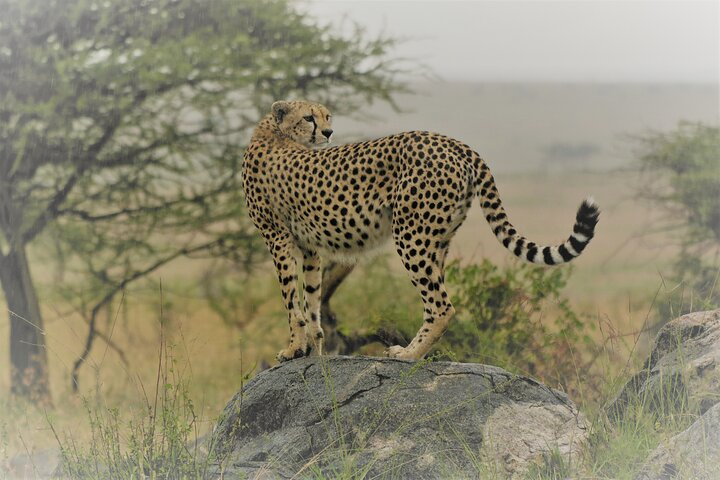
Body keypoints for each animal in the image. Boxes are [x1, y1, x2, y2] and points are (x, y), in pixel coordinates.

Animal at [243, 100, 600, 360]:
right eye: (309, 117)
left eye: (326, 116)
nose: (329, 132)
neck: (273, 131)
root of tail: (454, 142)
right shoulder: (308, 248)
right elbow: (312, 299)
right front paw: (314, 349)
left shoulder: (278, 240)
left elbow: (292, 301)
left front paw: (293, 348)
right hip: (437, 237)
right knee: (436, 300)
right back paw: (418, 351)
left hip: (410, 234)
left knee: (442, 306)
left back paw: (408, 355)